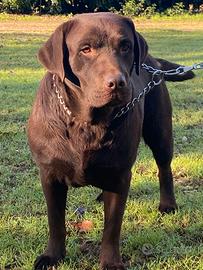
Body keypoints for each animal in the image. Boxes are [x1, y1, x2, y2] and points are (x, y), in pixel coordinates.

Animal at [27, 11, 194, 268]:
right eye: (85, 49)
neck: (87, 123)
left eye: (125, 46)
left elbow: (112, 226)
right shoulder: (49, 174)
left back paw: (168, 204)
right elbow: (55, 221)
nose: (116, 82)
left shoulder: (119, 175)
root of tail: (153, 63)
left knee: (164, 167)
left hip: (160, 130)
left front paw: (111, 261)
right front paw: (52, 256)